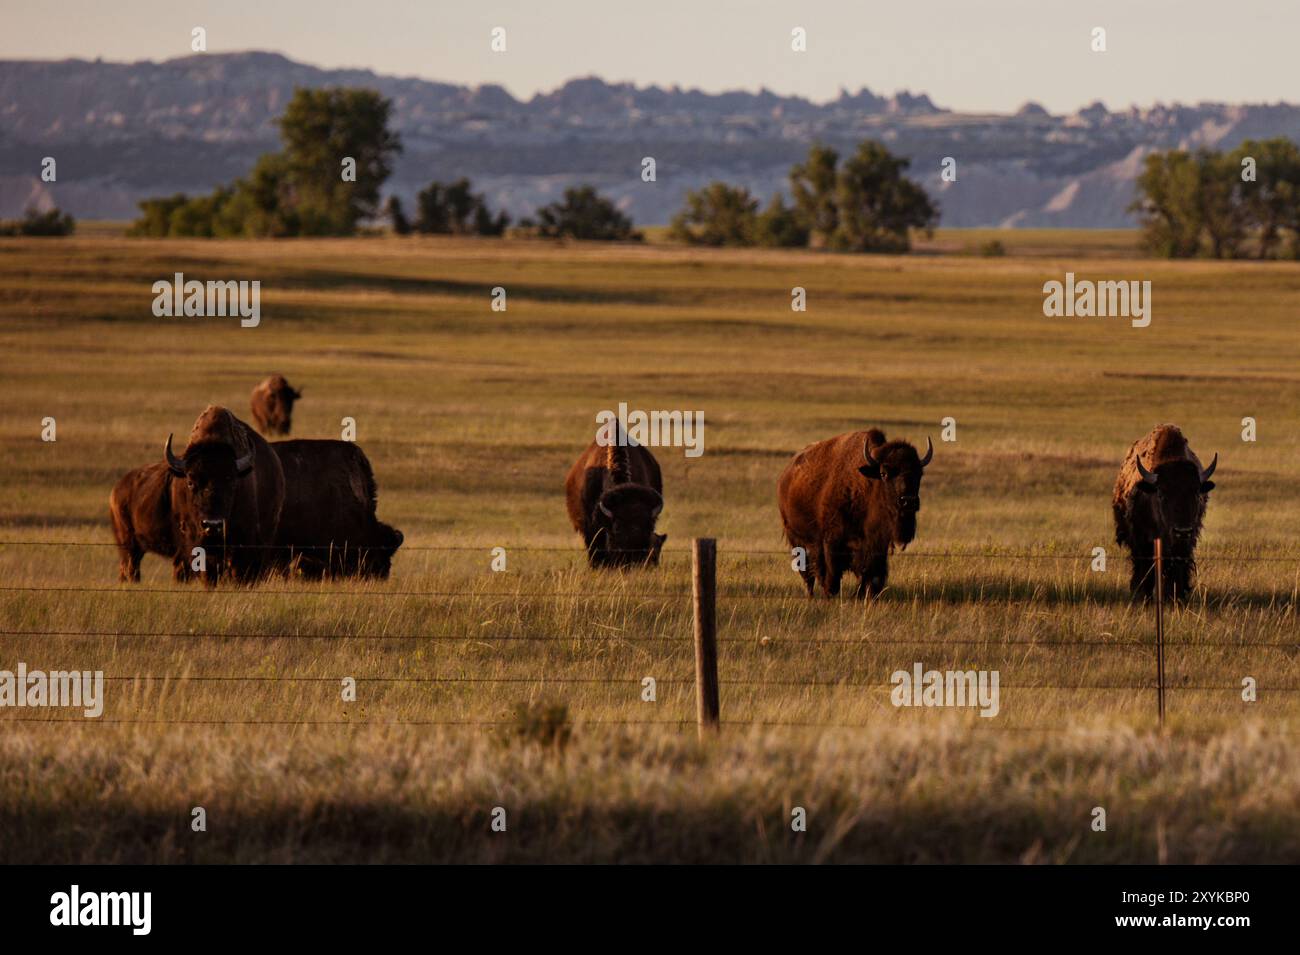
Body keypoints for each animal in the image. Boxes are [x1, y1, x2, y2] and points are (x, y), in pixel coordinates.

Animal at [774, 428, 930, 597]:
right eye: (884, 473)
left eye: (919, 474)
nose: (908, 501)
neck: (868, 485)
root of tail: (785, 475)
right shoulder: (831, 541)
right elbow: (832, 576)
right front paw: (830, 594)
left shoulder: (877, 546)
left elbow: (872, 577)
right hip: (796, 537)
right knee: (807, 573)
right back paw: (811, 595)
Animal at [1112, 428, 1211, 605]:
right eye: (1161, 494)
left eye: (1196, 493)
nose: (1182, 531)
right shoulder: (1143, 541)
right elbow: (1146, 568)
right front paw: (1144, 597)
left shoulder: (1186, 543)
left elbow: (1178, 567)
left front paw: (1176, 598)